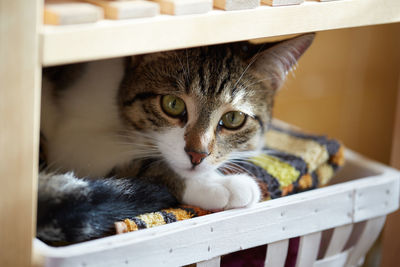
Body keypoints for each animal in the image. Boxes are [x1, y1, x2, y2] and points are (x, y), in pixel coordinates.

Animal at [36, 33, 312, 245]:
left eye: (233, 118)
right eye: (173, 104)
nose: (197, 155)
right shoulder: (73, 138)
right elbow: (144, 159)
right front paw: (218, 184)